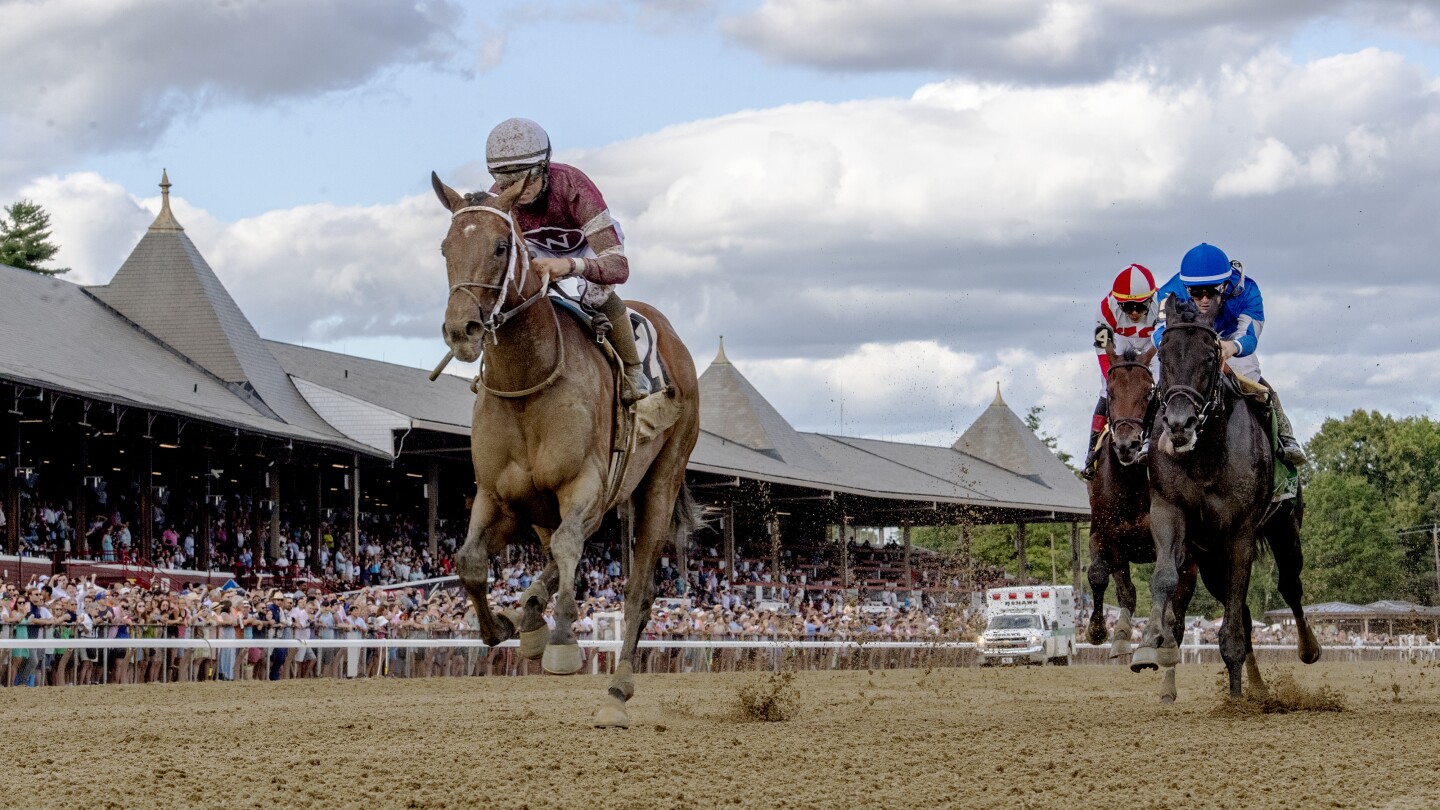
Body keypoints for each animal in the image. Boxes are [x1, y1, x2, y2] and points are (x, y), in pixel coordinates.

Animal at [429, 170, 699, 726]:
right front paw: (504, 625)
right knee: (553, 554)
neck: (528, 382)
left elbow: (571, 549)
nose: (461, 330)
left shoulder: (585, 483)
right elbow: (470, 561)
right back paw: (528, 615)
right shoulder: (498, 495)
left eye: (500, 246)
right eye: (446, 247)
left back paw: (616, 690)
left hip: (658, 481)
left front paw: (561, 637)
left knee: (638, 591)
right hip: (546, 506)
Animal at [1082, 343, 1163, 651]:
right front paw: (1098, 631)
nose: (1127, 445)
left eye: (1148, 392)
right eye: (1112, 392)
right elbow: (1100, 576)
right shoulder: (1104, 534)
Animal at [1128, 295, 1319, 700]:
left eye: (1210, 356)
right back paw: (1255, 686)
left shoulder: (1240, 531)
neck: (1204, 455)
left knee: (1289, 586)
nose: (1179, 424)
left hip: (1284, 529)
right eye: (1163, 355)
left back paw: (1306, 649)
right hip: (1210, 560)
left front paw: (1235, 699)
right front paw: (1149, 643)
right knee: (1244, 613)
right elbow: (1164, 576)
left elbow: (1234, 622)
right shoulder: (1167, 509)